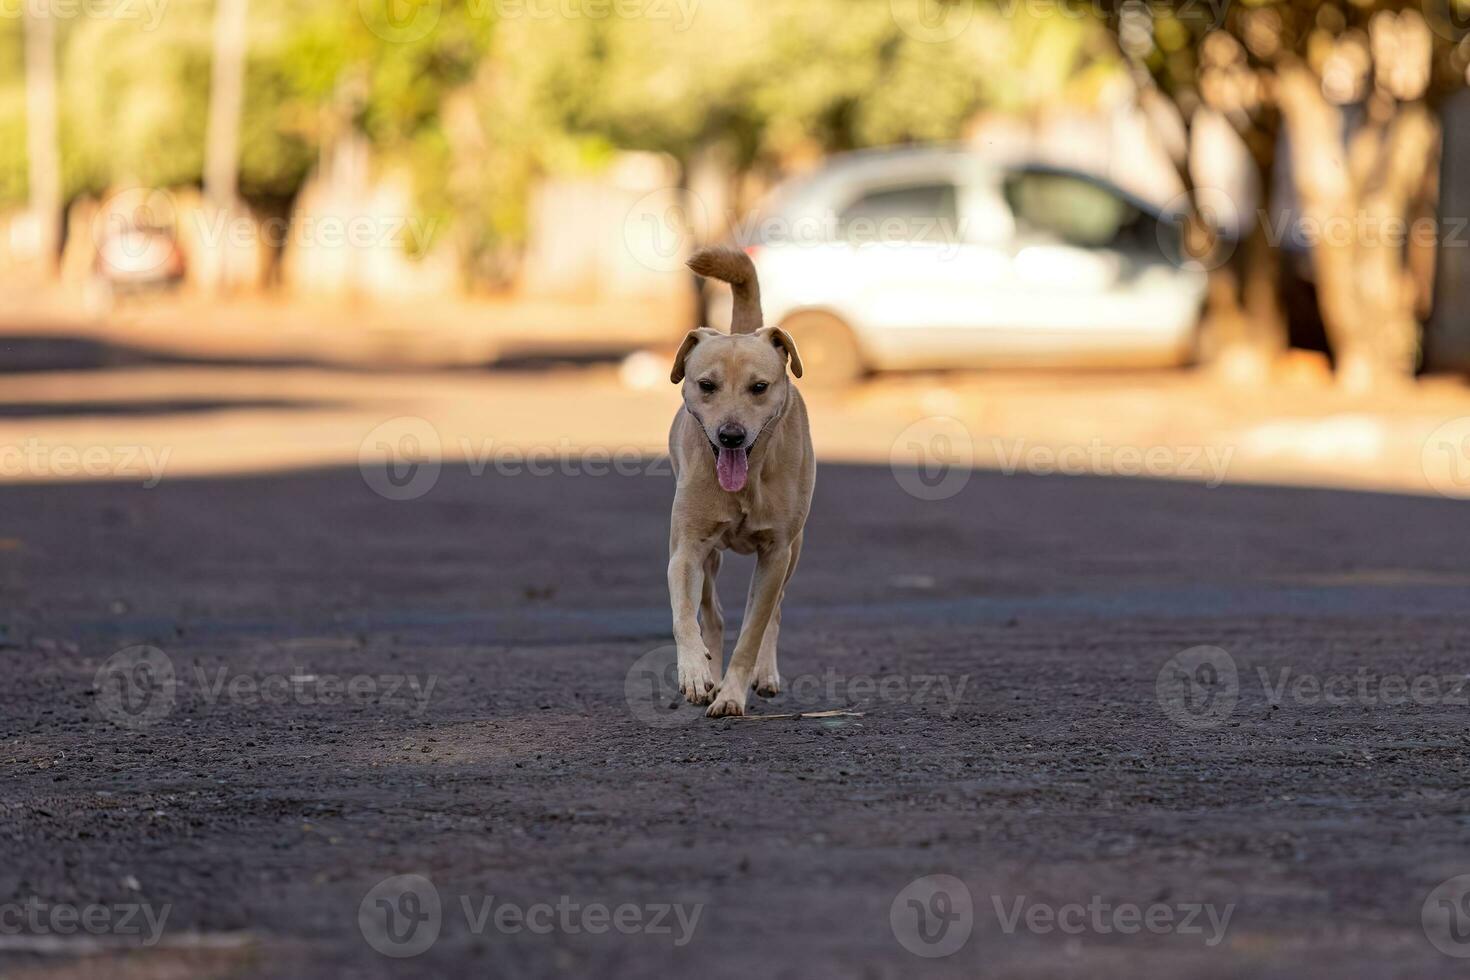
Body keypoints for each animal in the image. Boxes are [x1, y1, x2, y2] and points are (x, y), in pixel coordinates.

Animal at [667, 245, 817, 719]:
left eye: (759, 387)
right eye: (706, 384)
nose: (730, 435)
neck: (747, 485)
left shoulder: (776, 553)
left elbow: (754, 631)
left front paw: (733, 694)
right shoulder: (686, 548)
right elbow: (684, 614)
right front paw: (697, 674)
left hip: (796, 551)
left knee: (775, 612)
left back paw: (763, 675)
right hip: (712, 556)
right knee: (712, 613)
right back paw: (710, 670)